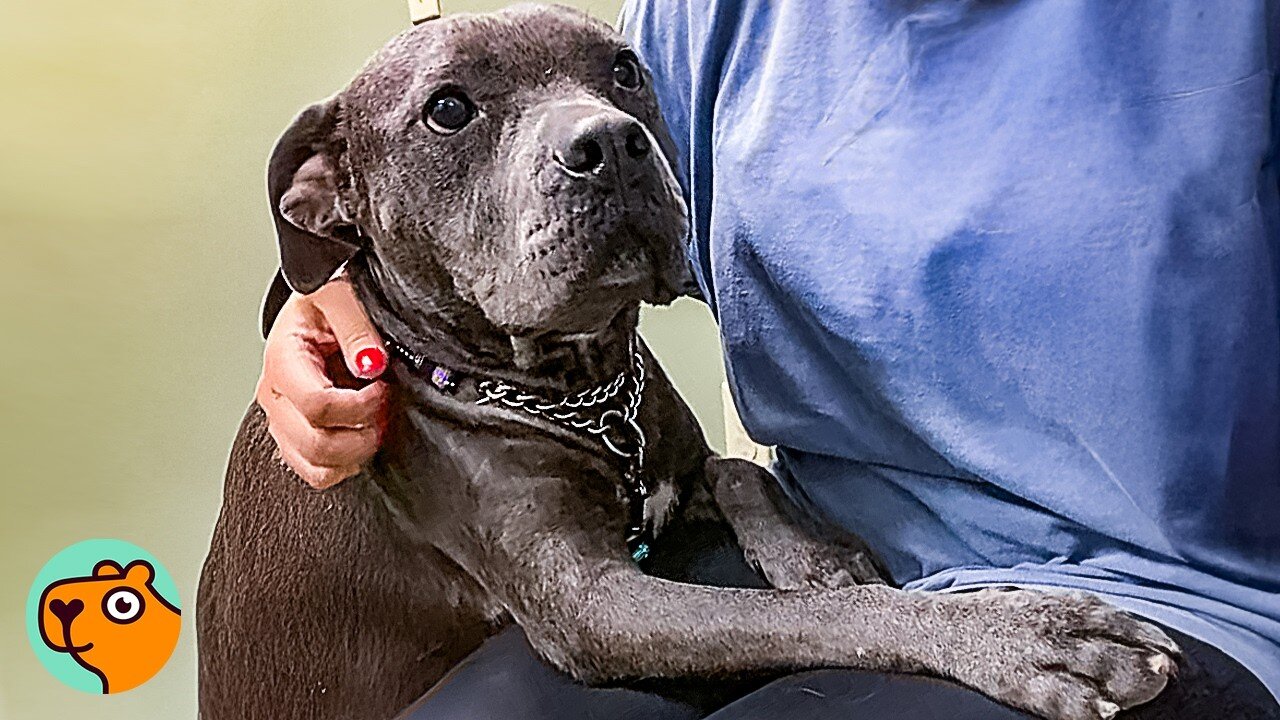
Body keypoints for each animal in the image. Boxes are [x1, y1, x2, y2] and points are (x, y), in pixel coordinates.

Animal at [197, 5, 1177, 717]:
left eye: (624, 69)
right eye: (448, 108)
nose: (610, 143)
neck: (579, 389)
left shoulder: (675, 459)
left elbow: (745, 478)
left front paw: (816, 555)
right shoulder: (594, 604)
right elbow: (813, 618)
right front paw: (1030, 637)